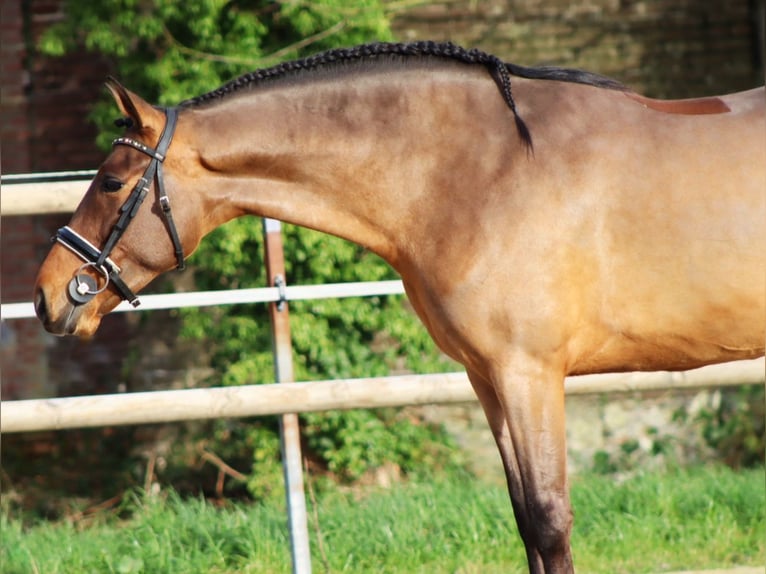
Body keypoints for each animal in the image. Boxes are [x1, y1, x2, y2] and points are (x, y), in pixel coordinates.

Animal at [33, 42, 764, 572]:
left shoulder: (529, 374)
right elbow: (526, 520)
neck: (480, 172)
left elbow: (550, 519)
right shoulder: (488, 378)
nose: (48, 292)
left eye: (112, 181)